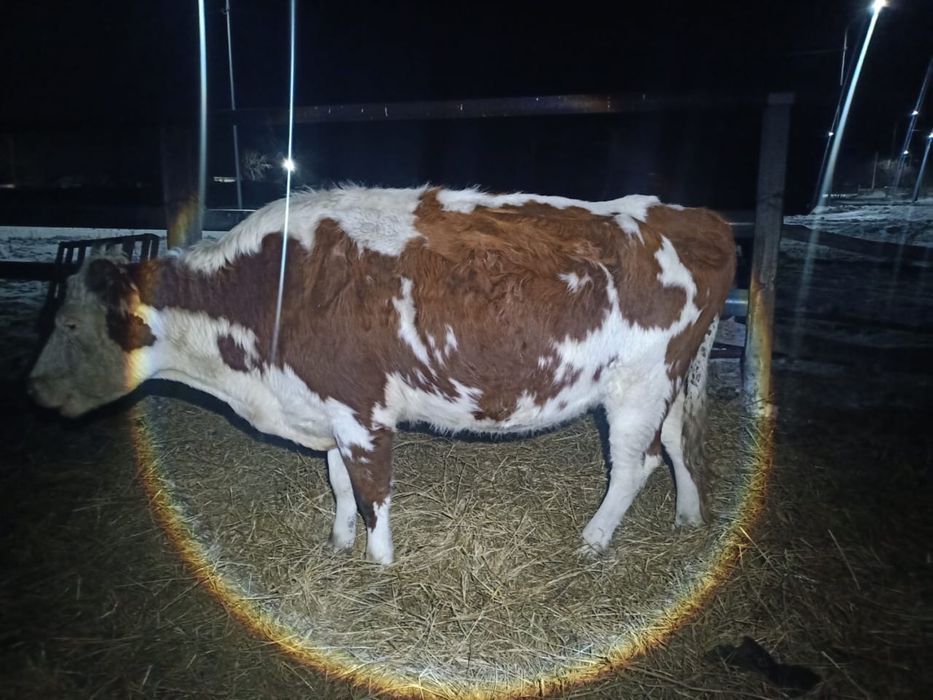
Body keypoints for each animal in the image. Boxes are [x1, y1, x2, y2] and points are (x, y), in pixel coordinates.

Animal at [27, 186, 735, 565]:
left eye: (70, 324)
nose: (36, 388)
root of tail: (693, 215)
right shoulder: (328, 407)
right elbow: (340, 481)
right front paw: (339, 542)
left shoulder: (362, 409)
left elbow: (372, 490)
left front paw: (381, 563)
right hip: (676, 376)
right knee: (677, 443)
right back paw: (688, 518)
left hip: (637, 386)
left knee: (636, 462)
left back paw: (593, 541)